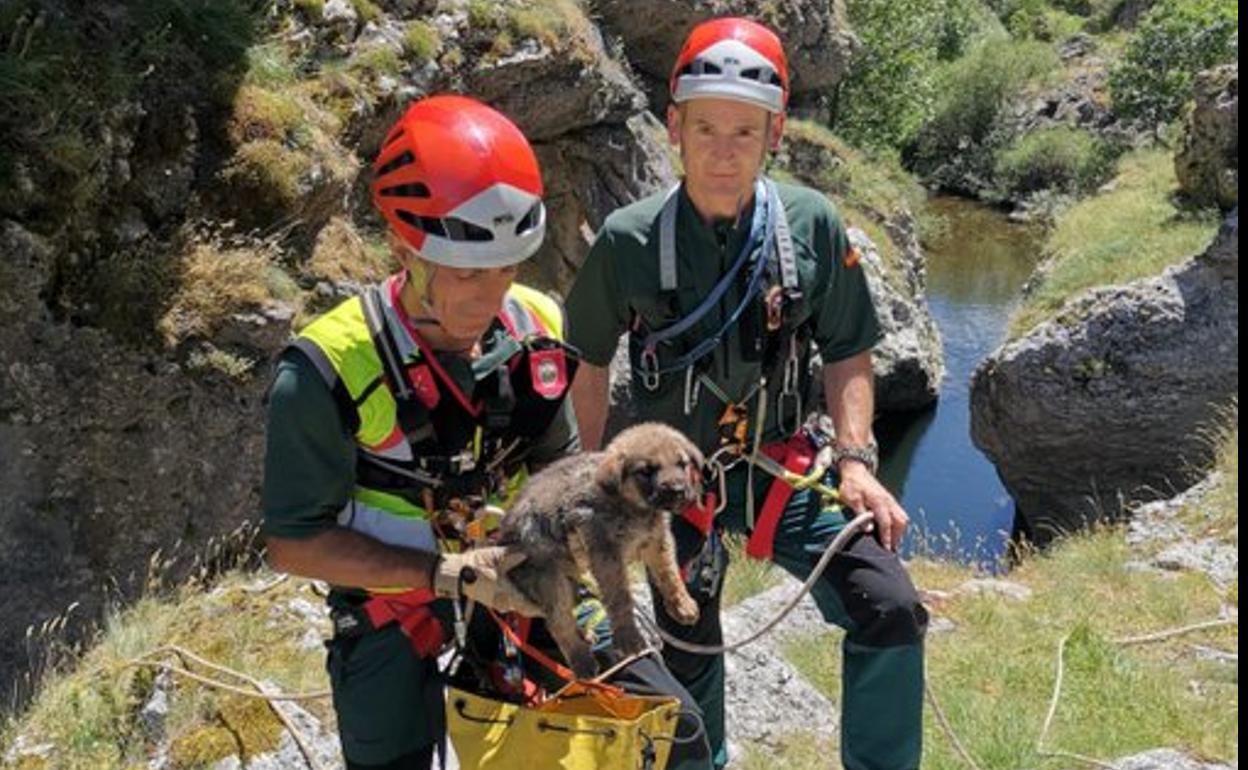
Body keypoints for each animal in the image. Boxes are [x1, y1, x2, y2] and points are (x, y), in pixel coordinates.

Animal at [501, 416, 708, 673]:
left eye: (682, 464)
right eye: (646, 471)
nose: (679, 491)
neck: (634, 508)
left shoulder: (657, 541)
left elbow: (669, 574)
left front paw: (682, 604)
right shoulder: (606, 553)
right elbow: (620, 596)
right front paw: (628, 637)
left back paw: (585, 637)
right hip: (550, 580)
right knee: (559, 623)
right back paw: (583, 662)